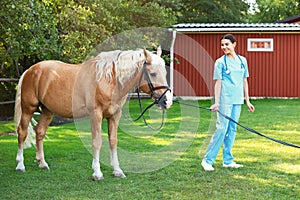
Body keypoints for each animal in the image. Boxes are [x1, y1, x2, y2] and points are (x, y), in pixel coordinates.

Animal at [14, 48, 173, 180]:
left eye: (165, 73)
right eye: (152, 74)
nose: (167, 101)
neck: (109, 80)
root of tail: (31, 70)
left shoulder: (114, 116)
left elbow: (113, 141)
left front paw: (117, 170)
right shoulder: (95, 115)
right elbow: (97, 142)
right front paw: (97, 173)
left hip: (48, 111)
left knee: (40, 131)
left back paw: (42, 163)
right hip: (28, 109)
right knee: (22, 132)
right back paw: (20, 165)